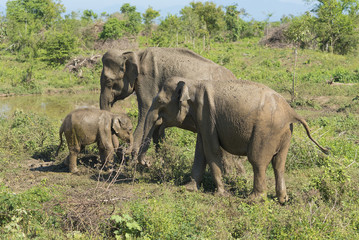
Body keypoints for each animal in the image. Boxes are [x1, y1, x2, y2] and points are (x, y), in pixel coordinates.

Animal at [98, 47, 245, 174]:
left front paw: (132, 165)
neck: (135, 54)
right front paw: (162, 164)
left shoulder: (147, 81)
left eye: (109, 81)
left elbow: (145, 112)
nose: (122, 151)